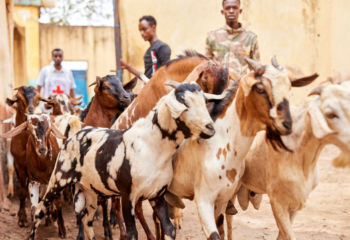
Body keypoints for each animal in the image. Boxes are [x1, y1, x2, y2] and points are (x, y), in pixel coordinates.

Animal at [28, 81, 223, 240]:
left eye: (204, 101)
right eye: (185, 104)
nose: (210, 128)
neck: (151, 145)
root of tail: (74, 135)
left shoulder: (157, 196)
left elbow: (169, 230)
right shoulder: (127, 196)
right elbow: (132, 233)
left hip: (89, 192)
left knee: (87, 221)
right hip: (58, 180)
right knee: (39, 211)